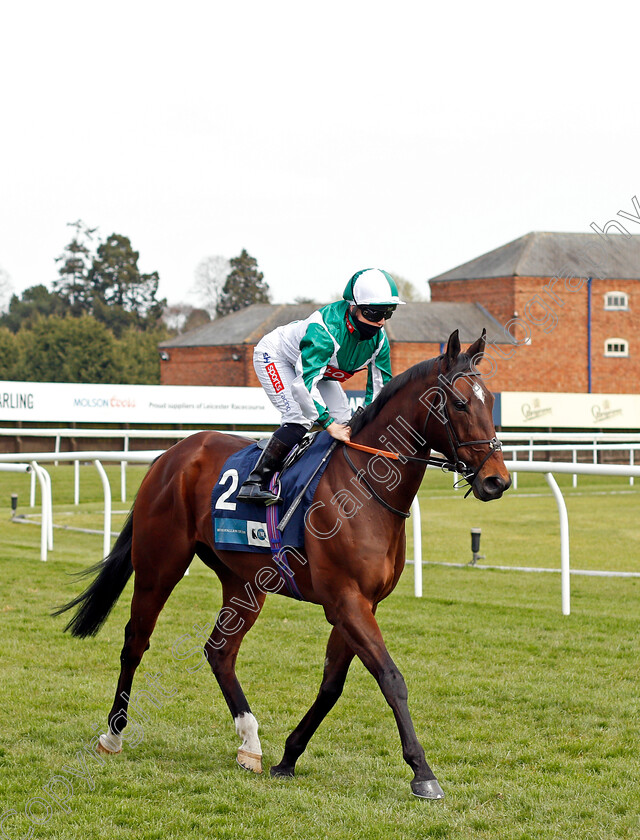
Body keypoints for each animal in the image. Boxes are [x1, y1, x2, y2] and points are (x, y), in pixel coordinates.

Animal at [57, 328, 512, 800]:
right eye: (459, 403)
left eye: (489, 401)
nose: (496, 480)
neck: (365, 487)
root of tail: (171, 455)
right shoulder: (346, 601)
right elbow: (391, 678)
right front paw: (422, 772)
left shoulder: (361, 604)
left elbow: (332, 686)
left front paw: (288, 757)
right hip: (159, 564)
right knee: (135, 641)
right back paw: (113, 735)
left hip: (244, 582)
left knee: (219, 652)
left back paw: (250, 744)